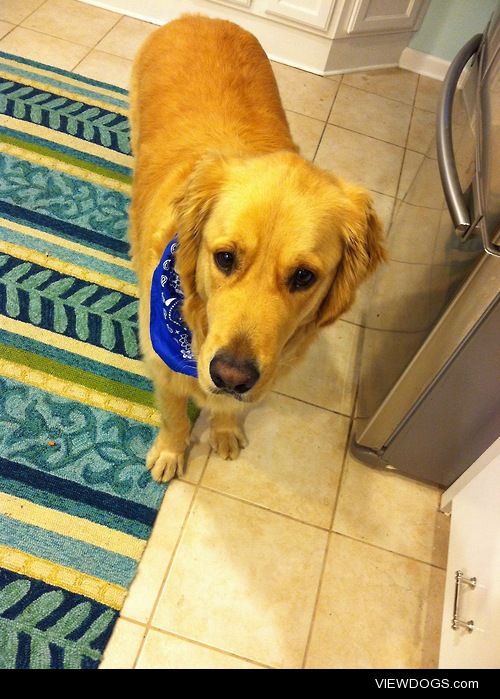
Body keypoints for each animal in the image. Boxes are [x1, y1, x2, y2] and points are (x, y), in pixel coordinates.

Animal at [128, 17, 382, 486]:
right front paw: (171, 452)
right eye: (225, 257)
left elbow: (229, 411)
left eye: (303, 276)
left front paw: (225, 431)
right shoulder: (160, 360)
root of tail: (202, 18)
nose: (231, 375)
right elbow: (174, 415)